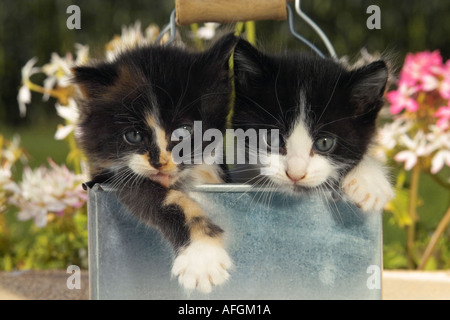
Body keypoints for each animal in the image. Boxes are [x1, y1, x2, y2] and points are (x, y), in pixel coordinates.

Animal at [73, 33, 239, 292]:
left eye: (183, 132)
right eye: (133, 135)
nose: (159, 162)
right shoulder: (119, 176)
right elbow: (167, 199)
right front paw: (201, 256)